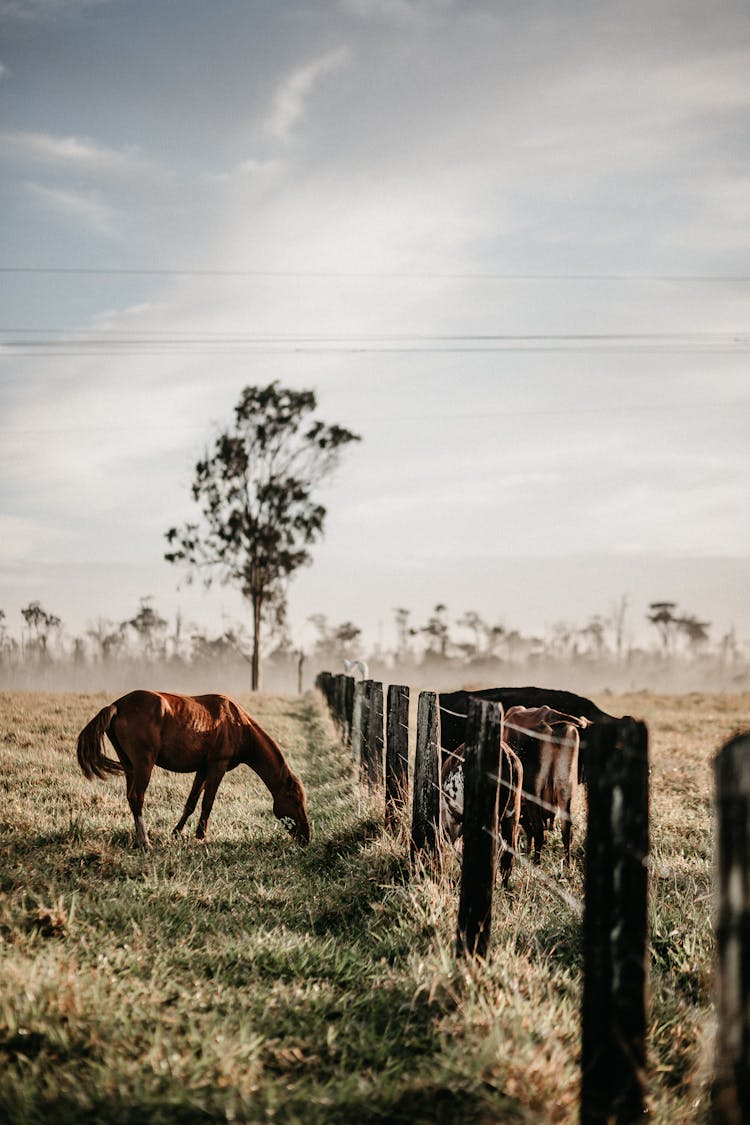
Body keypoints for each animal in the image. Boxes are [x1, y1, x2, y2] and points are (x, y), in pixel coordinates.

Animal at [76, 688, 310, 846]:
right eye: (296, 801)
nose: (306, 837)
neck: (237, 724)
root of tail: (117, 706)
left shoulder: (203, 769)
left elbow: (191, 802)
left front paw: (177, 831)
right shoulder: (217, 766)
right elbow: (208, 802)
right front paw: (200, 835)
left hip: (129, 766)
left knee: (131, 798)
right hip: (144, 764)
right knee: (137, 797)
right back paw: (144, 841)